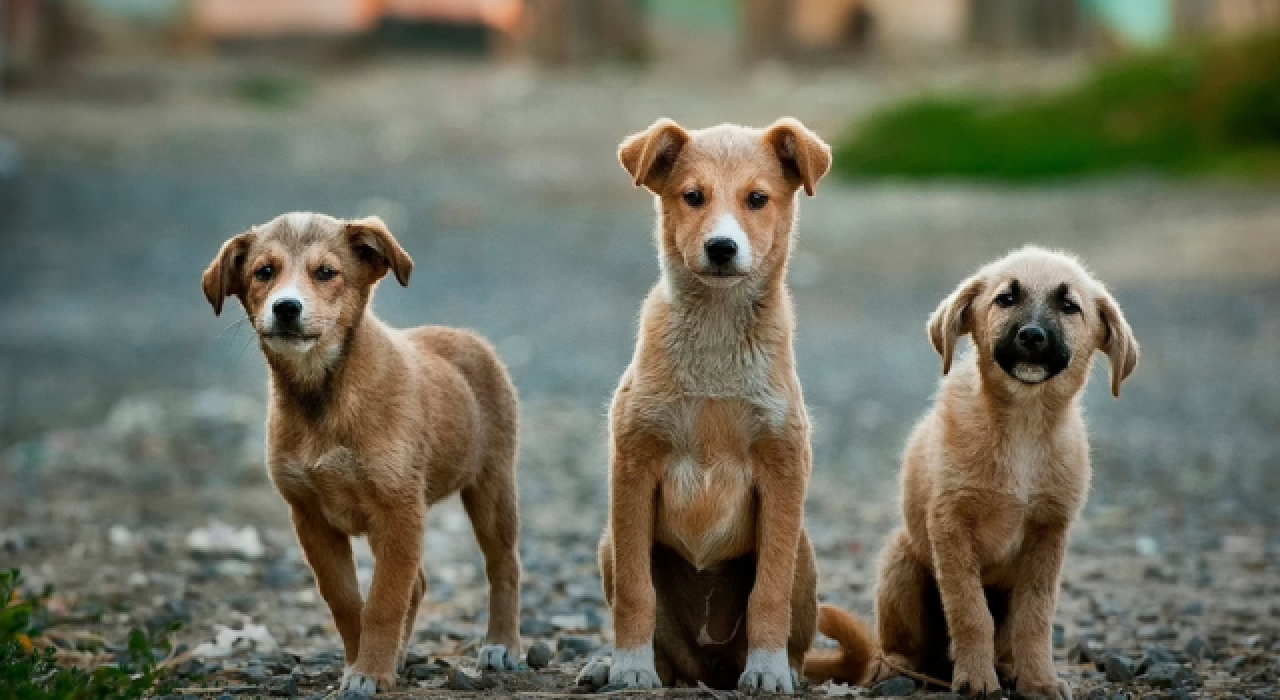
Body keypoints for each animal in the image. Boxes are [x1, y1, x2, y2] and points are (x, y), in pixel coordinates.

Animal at [199, 212, 519, 696]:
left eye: (326, 272)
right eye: (264, 272)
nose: (286, 308)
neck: (324, 396)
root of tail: (468, 338)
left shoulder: (398, 509)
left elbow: (384, 601)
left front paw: (370, 672)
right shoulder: (311, 516)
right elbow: (348, 601)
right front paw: (360, 664)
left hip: (491, 487)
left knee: (504, 566)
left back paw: (502, 645)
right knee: (418, 583)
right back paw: (400, 655)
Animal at [583, 120, 839, 696]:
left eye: (758, 199)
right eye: (693, 197)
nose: (721, 247)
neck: (717, 341)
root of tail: (709, 667)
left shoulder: (783, 470)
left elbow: (768, 592)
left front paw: (767, 670)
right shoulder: (632, 467)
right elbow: (635, 591)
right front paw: (629, 666)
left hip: (804, 551)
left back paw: (783, 667)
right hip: (610, 542)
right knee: (663, 641)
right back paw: (616, 666)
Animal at [808, 248, 1141, 700]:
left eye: (1069, 306)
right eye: (1006, 299)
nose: (1032, 336)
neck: (1022, 425)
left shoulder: (1049, 532)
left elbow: (1035, 618)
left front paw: (1039, 680)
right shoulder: (950, 523)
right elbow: (969, 611)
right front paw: (977, 679)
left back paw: (1008, 668)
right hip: (900, 560)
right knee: (900, 647)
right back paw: (897, 669)